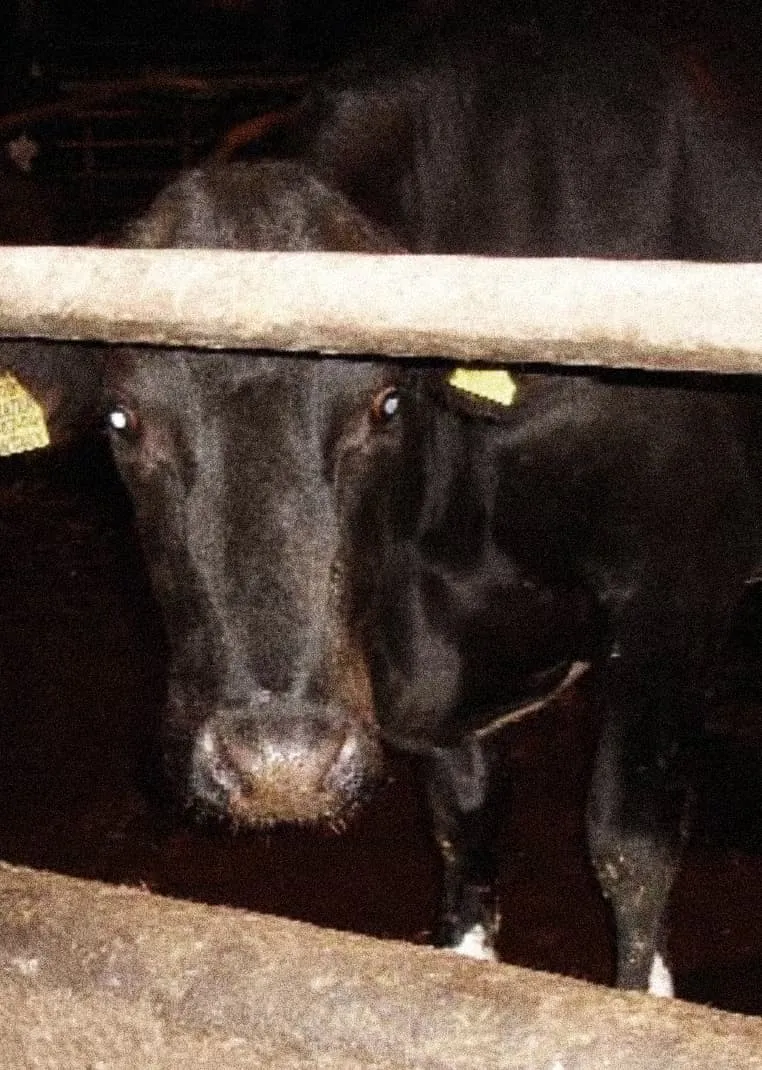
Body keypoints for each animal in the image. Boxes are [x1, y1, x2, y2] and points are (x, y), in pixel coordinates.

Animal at [5, 29, 762, 992]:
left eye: (386, 403)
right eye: (120, 419)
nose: (279, 765)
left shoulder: (676, 579)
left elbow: (631, 847)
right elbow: (466, 833)